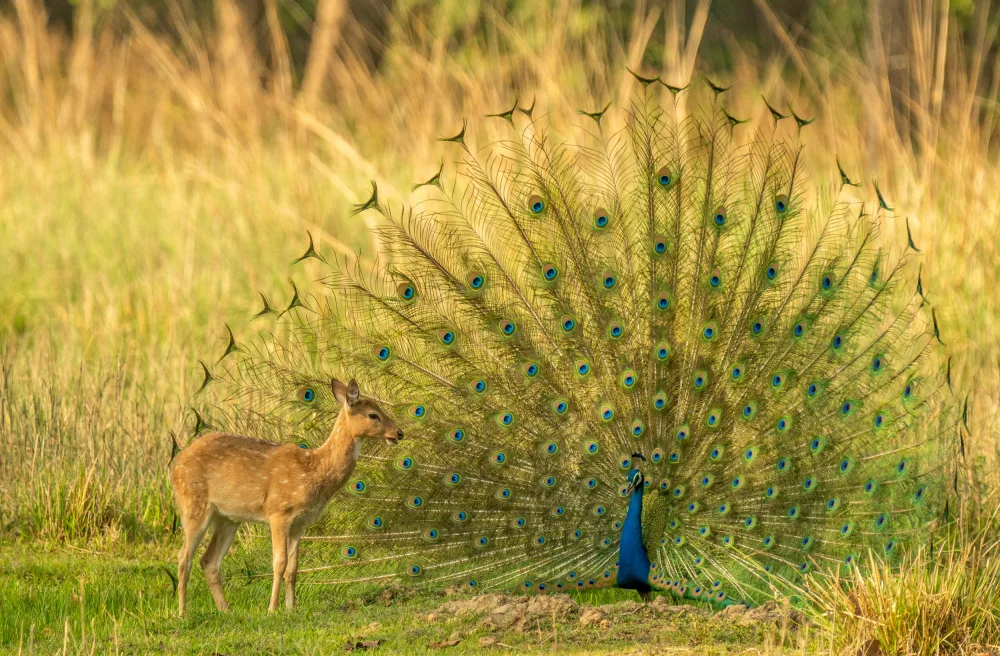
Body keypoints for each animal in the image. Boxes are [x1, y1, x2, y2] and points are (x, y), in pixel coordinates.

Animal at [169, 378, 402, 615]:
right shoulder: (278, 511)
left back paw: (226, 610)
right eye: (373, 414)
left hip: (228, 518)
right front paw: (272, 609)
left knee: (209, 561)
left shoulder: (300, 522)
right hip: (193, 503)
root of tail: (175, 464)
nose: (399, 432)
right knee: (183, 557)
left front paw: (291, 608)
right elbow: (279, 563)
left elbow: (293, 567)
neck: (314, 470)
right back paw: (182, 612)